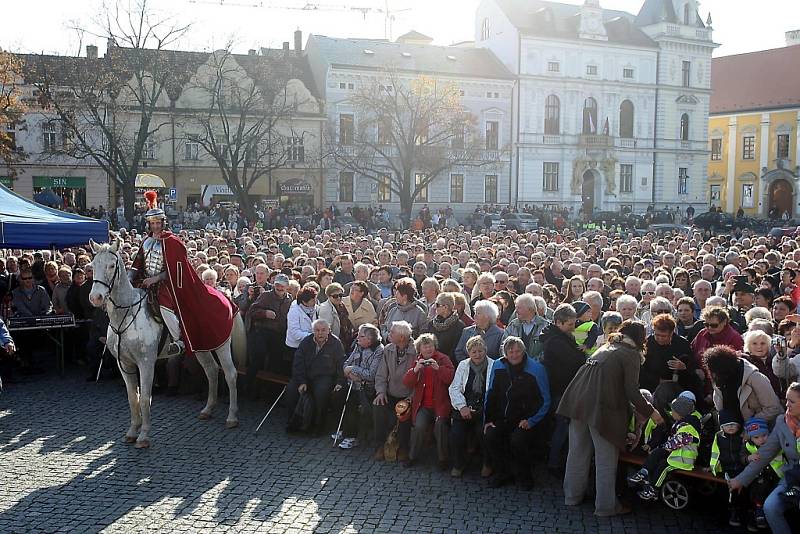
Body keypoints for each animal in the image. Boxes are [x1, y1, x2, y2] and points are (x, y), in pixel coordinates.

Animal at [86, 239, 244, 448]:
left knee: (230, 374)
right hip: (201, 346)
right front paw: (132, 432)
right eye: (93, 265)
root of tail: (225, 297)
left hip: (221, 345)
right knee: (211, 371)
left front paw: (144, 436)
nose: (95, 298)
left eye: (112, 266)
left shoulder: (146, 363)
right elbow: (132, 397)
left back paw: (232, 417)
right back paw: (207, 410)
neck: (127, 313)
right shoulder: (124, 364)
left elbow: (145, 397)